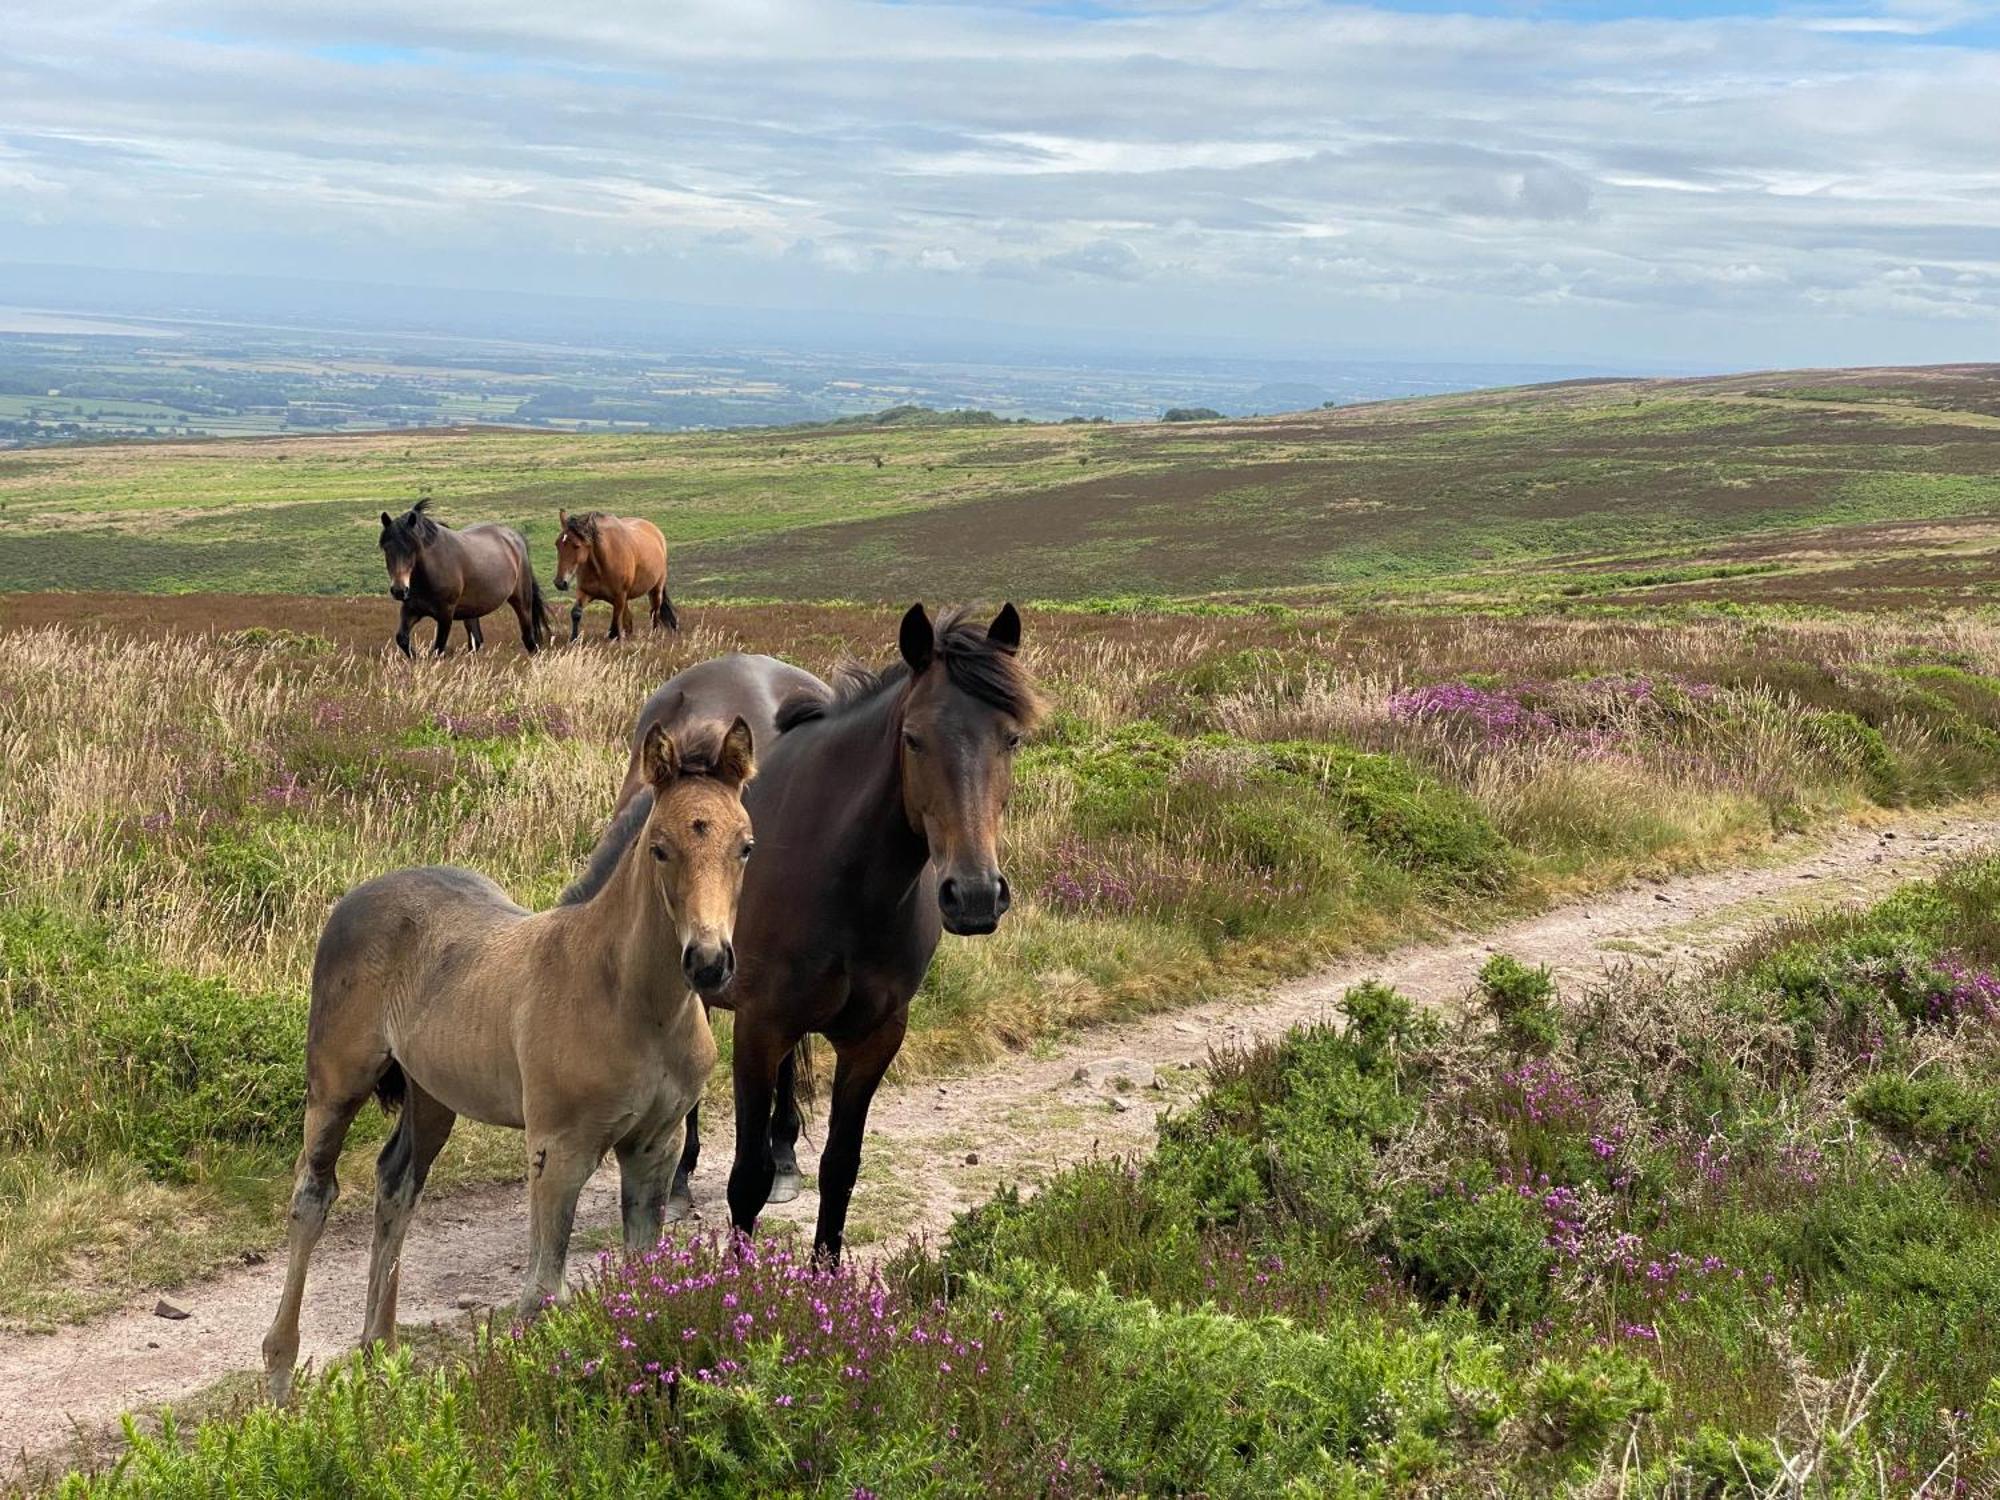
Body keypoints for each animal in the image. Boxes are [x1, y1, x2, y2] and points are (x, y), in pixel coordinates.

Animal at [264, 712, 756, 1408]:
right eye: (660, 847)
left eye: (745, 846)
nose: (709, 963)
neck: (633, 1001)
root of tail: (359, 895)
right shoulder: (558, 1149)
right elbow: (540, 1295)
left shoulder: (653, 1146)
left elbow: (644, 1278)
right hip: (337, 1082)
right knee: (313, 1195)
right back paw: (280, 1373)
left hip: (432, 1094)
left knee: (397, 1183)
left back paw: (379, 1353)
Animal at [378, 500, 552, 656]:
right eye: (386, 548)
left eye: (412, 548)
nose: (399, 590)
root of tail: (515, 537)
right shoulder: (411, 609)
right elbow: (402, 639)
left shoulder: (445, 615)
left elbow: (437, 650)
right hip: (472, 612)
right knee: (476, 642)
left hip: (522, 602)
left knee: (529, 640)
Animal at [552, 516, 676, 644]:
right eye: (557, 544)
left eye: (576, 545)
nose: (559, 582)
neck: (601, 566)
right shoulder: (585, 592)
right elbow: (576, 612)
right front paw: (574, 639)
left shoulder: (620, 596)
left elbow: (615, 627)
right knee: (629, 618)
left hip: (656, 589)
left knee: (654, 612)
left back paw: (653, 635)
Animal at [616, 604, 1040, 1264]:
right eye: (914, 738)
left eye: (1011, 738)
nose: (973, 895)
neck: (843, 877)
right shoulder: (759, 1026)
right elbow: (746, 1178)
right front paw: (736, 1282)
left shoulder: (875, 1036)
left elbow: (841, 1167)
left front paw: (825, 1277)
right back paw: (681, 1179)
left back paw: (786, 1157)